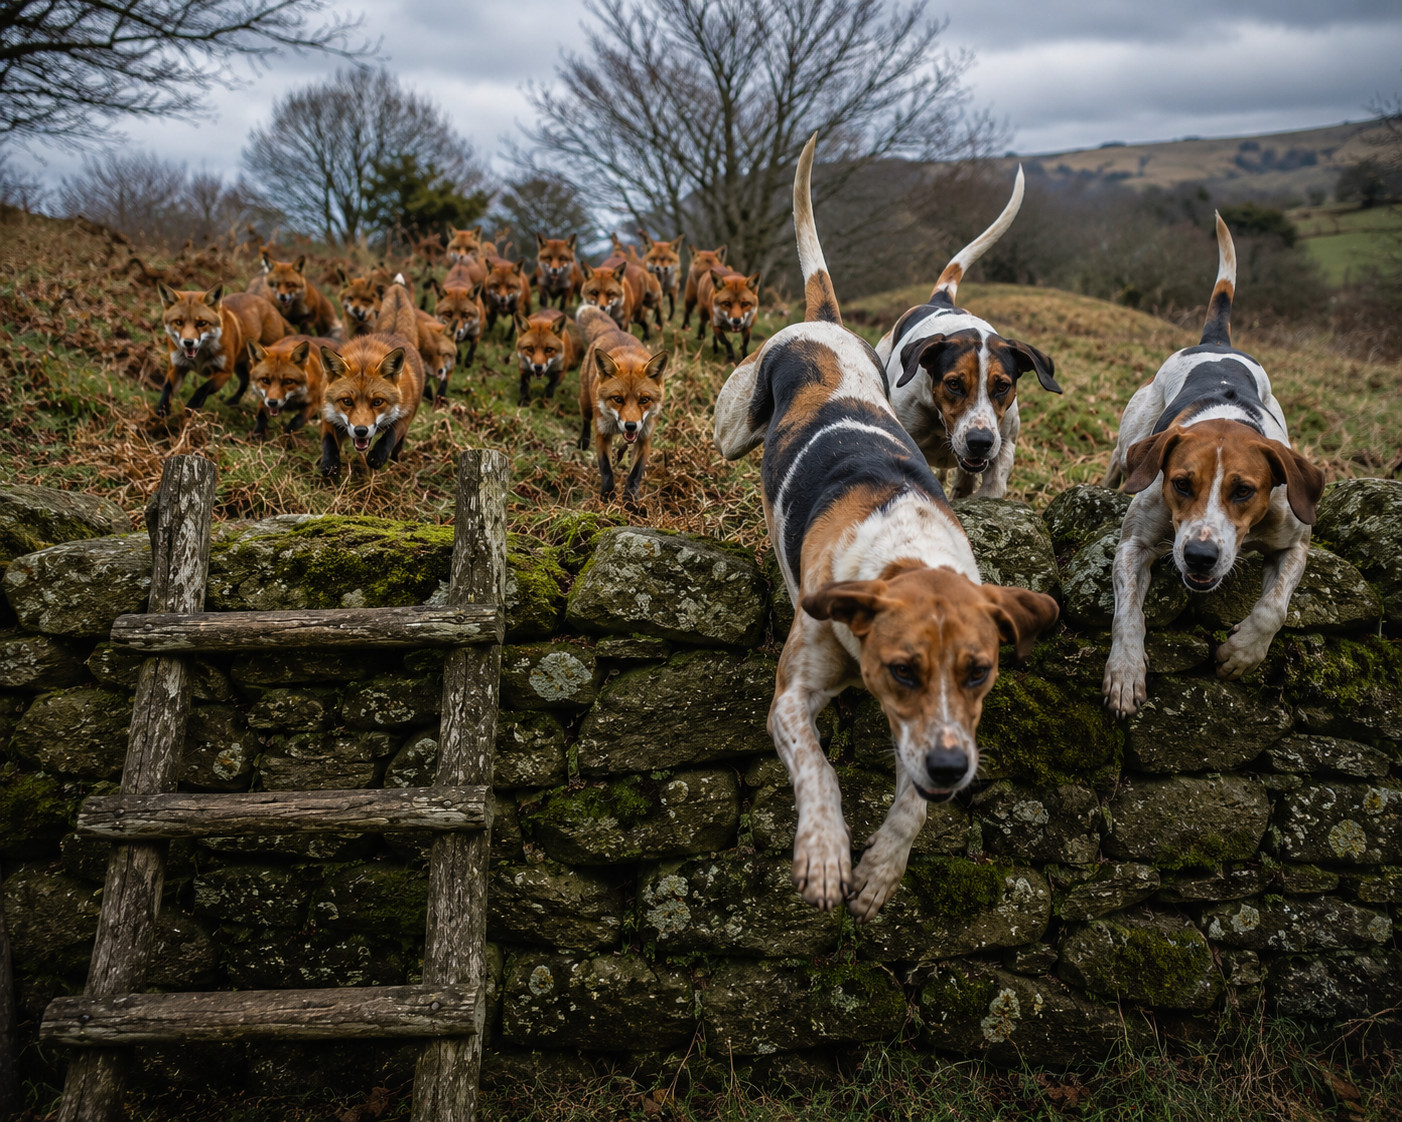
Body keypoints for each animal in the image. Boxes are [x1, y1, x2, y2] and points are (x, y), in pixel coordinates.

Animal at [155, 283, 288, 416]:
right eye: (178, 322)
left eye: (202, 323)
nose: (188, 342)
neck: (199, 359)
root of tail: (272, 307)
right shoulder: (177, 368)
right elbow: (167, 389)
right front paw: (162, 411)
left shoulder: (224, 371)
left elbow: (202, 389)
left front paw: (191, 408)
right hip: (238, 365)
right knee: (245, 379)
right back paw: (233, 401)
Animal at [318, 278, 426, 480]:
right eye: (347, 401)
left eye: (377, 402)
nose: (361, 431)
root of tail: (393, 333)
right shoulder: (328, 412)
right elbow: (328, 441)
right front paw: (330, 464)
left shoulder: (405, 413)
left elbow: (391, 435)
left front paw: (377, 456)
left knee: (399, 442)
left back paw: (395, 460)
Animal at [576, 304, 667, 500]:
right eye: (618, 399)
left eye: (644, 399)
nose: (630, 425)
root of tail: (613, 330)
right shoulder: (602, 433)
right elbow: (606, 469)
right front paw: (607, 496)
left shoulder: (645, 438)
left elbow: (635, 474)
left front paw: (630, 501)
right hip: (585, 401)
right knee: (585, 420)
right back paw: (583, 442)